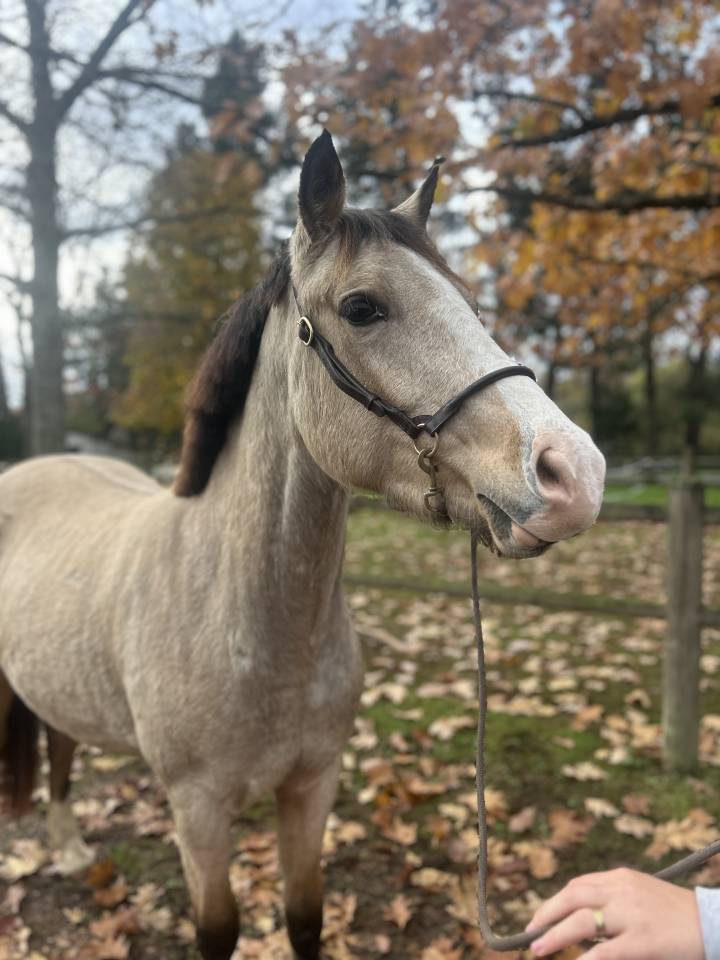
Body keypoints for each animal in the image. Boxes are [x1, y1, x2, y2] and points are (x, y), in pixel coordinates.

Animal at [0, 131, 605, 960]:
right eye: (362, 308)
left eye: (472, 306)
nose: (575, 472)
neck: (249, 622)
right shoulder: (197, 812)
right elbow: (218, 930)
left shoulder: (313, 787)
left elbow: (305, 916)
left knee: (60, 749)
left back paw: (66, 849)